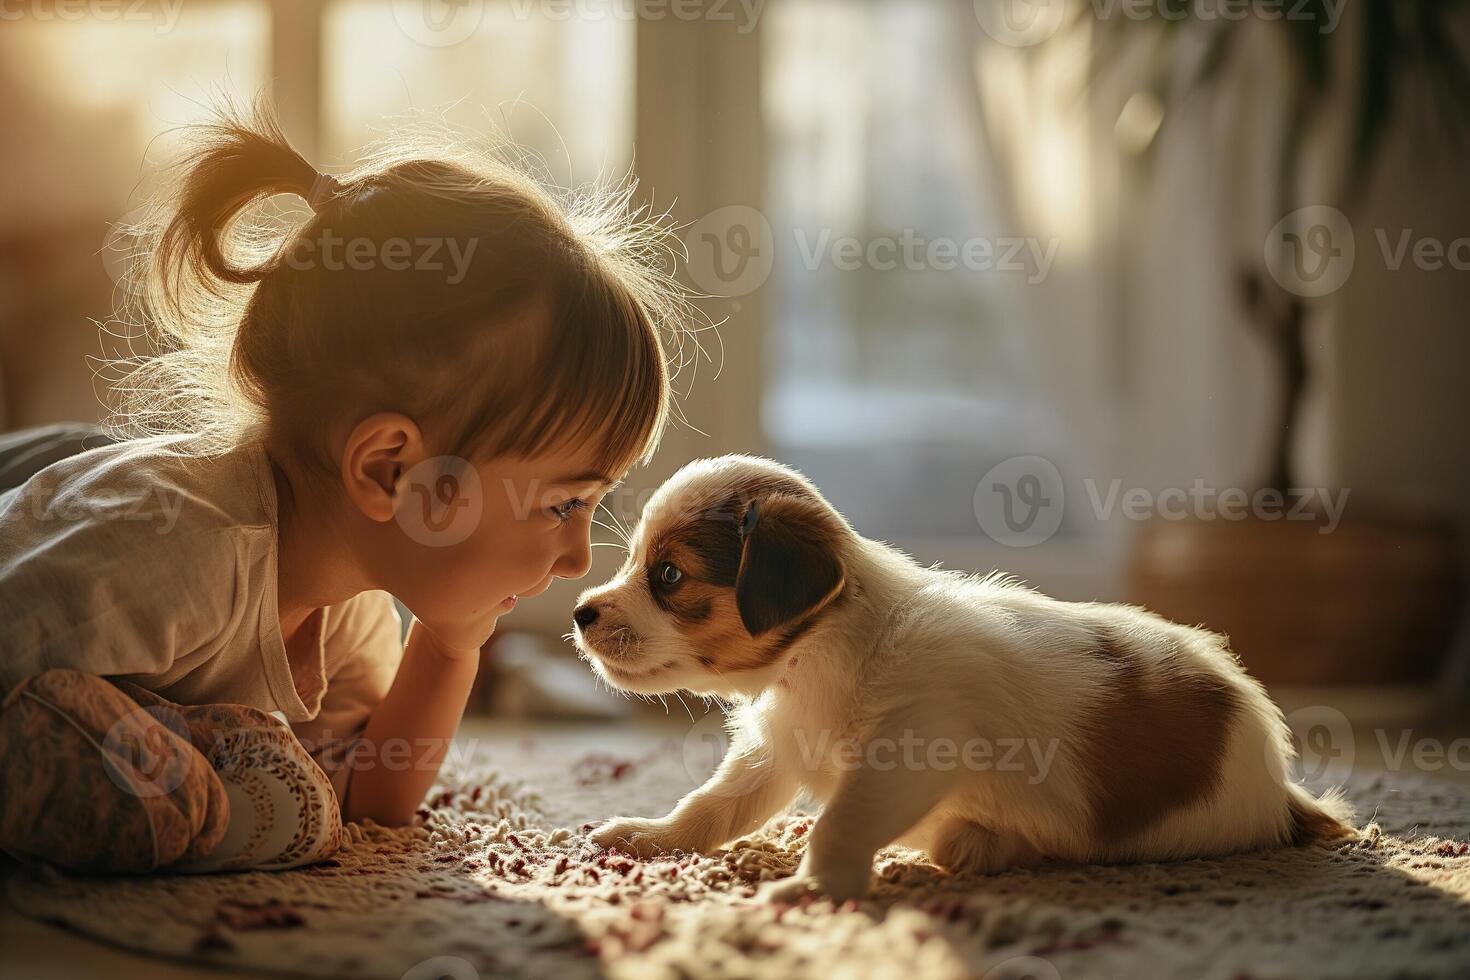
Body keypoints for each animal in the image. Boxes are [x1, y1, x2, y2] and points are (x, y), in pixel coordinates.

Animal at [570, 455, 1352, 899]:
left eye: (668, 576)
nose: (579, 612)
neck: (822, 651)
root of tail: (1280, 782)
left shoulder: (910, 750)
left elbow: (840, 822)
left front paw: (817, 886)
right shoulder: (774, 750)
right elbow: (712, 806)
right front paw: (652, 839)